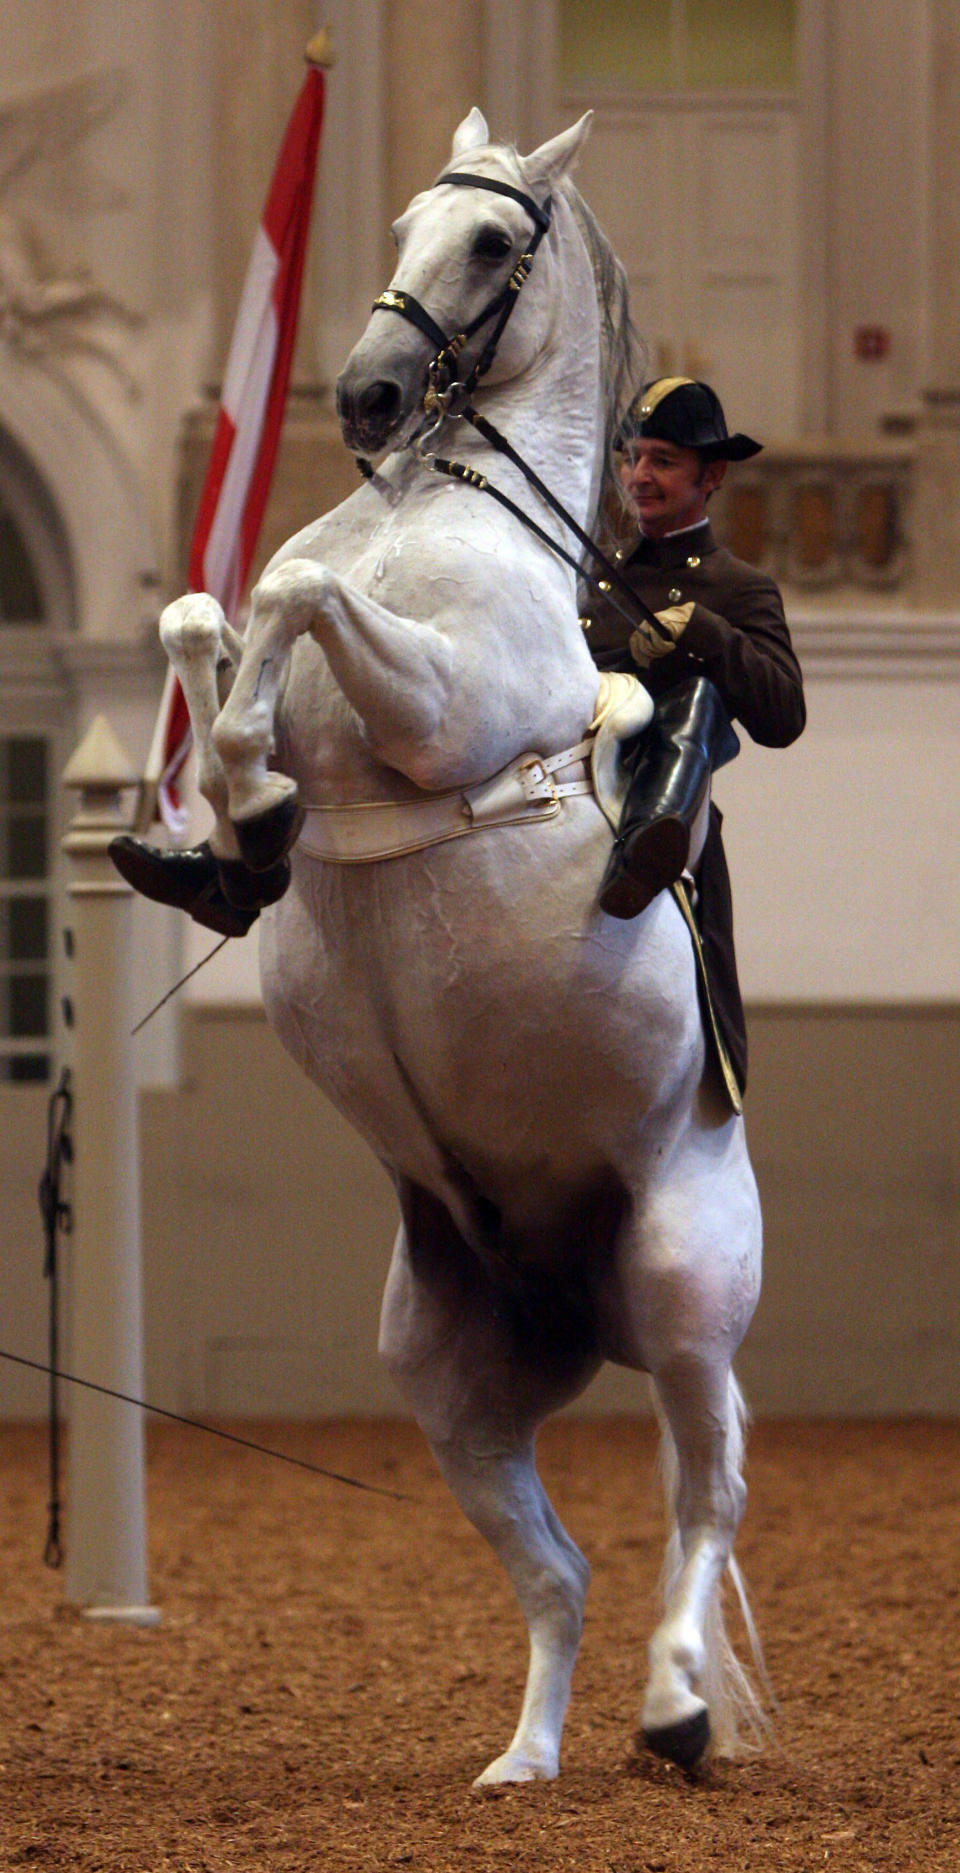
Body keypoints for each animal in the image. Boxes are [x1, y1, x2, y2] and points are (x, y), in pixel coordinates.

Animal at [160, 106, 767, 1783]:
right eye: (401, 228)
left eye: (493, 242)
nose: (367, 395)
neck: (442, 510)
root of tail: (574, 1293)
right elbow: (205, 615)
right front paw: (238, 824)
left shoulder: (439, 709)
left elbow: (295, 588)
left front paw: (255, 785)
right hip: (446, 1378)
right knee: (557, 1568)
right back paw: (525, 1761)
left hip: (686, 1296)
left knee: (703, 1497)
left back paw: (677, 1712)